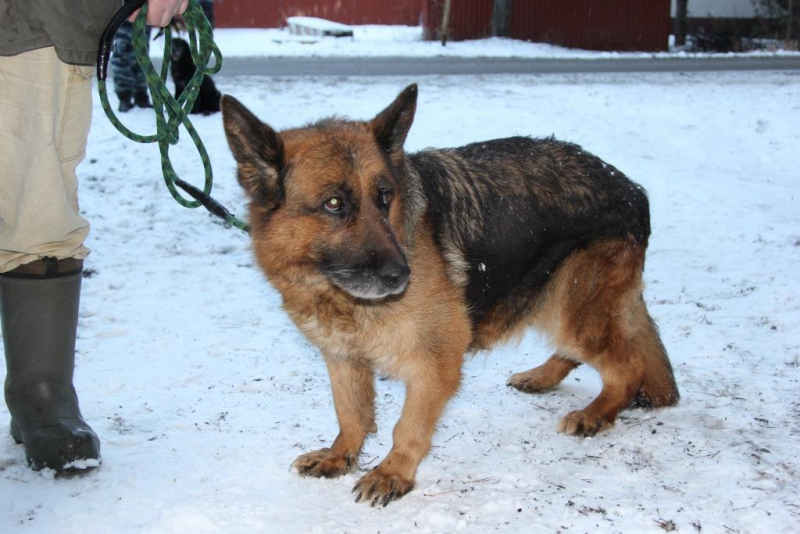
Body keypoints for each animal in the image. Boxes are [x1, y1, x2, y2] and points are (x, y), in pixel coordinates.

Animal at [220, 86, 680, 508]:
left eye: (385, 197)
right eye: (334, 204)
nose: (401, 275)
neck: (335, 293)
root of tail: (632, 190)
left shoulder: (435, 362)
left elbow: (406, 427)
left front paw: (393, 473)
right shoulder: (342, 356)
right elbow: (350, 413)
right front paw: (340, 456)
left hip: (571, 305)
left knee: (627, 368)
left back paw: (595, 414)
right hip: (557, 300)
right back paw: (543, 377)